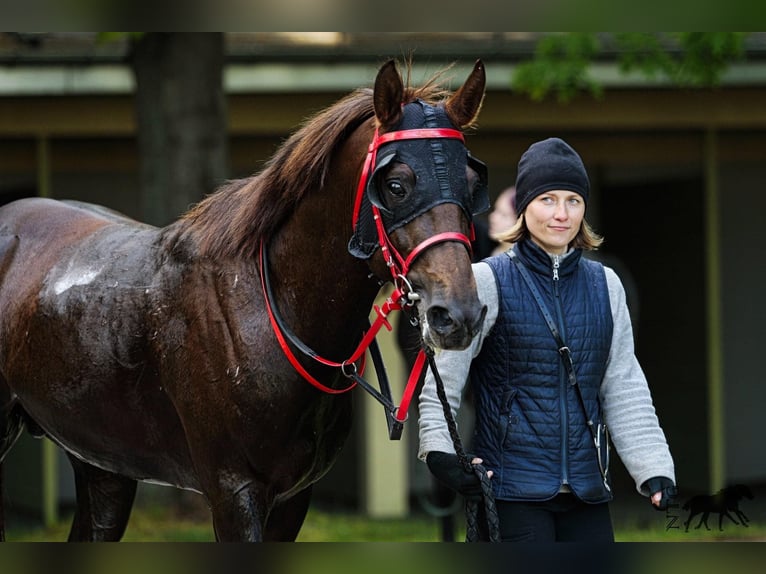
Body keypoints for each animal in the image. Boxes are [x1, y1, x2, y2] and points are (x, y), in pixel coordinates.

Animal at [0, 60, 492, 544]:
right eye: (395, 185)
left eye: (472, 183)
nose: (459, 315)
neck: (264, 314)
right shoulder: (233, 489)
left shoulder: (293, 497)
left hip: (102, 464)